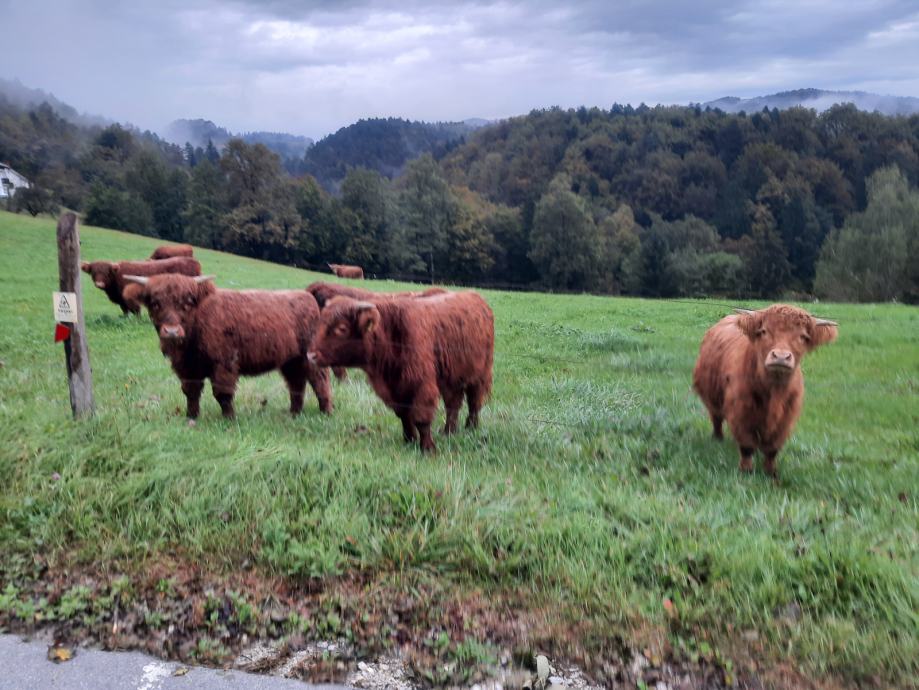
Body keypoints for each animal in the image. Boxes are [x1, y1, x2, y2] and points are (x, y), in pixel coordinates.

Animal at [123, 274, 334, 420]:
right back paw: (294, 413)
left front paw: (229, 419)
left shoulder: (224, 362)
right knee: (297, 384)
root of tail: (308, 296)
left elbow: (222, 393)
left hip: (309, 357)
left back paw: (326, 411)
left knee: (320, 381)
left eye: (187, 302)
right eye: (155, 303)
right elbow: (191, 392)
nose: (172, 331)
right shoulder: (187, 367)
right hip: (290, 361)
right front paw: (191, 417)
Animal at [310, 290, 496, 452]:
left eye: (341, 328)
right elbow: (404, 415)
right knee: (453, 404)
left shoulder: (422, 386)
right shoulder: (394, 389)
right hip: (451, 378)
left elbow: (421, 419)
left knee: (474, 402)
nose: (310, 355)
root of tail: (477, 298)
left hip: (480, 375)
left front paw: (428, 448)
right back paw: (448, 431)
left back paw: (471, 428)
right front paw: (409, 440)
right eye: (320, 322)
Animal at [692, 304, 836, 476]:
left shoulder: (786, 417)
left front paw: (771, 472)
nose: (781, 357)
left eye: (803, 337)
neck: (773, 391)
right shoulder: (740, 410)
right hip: (712, 397)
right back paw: (717, 438)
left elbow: (772, 449)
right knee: (716, 417)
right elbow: (747, 445)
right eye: (764, 331)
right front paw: (746, 470)